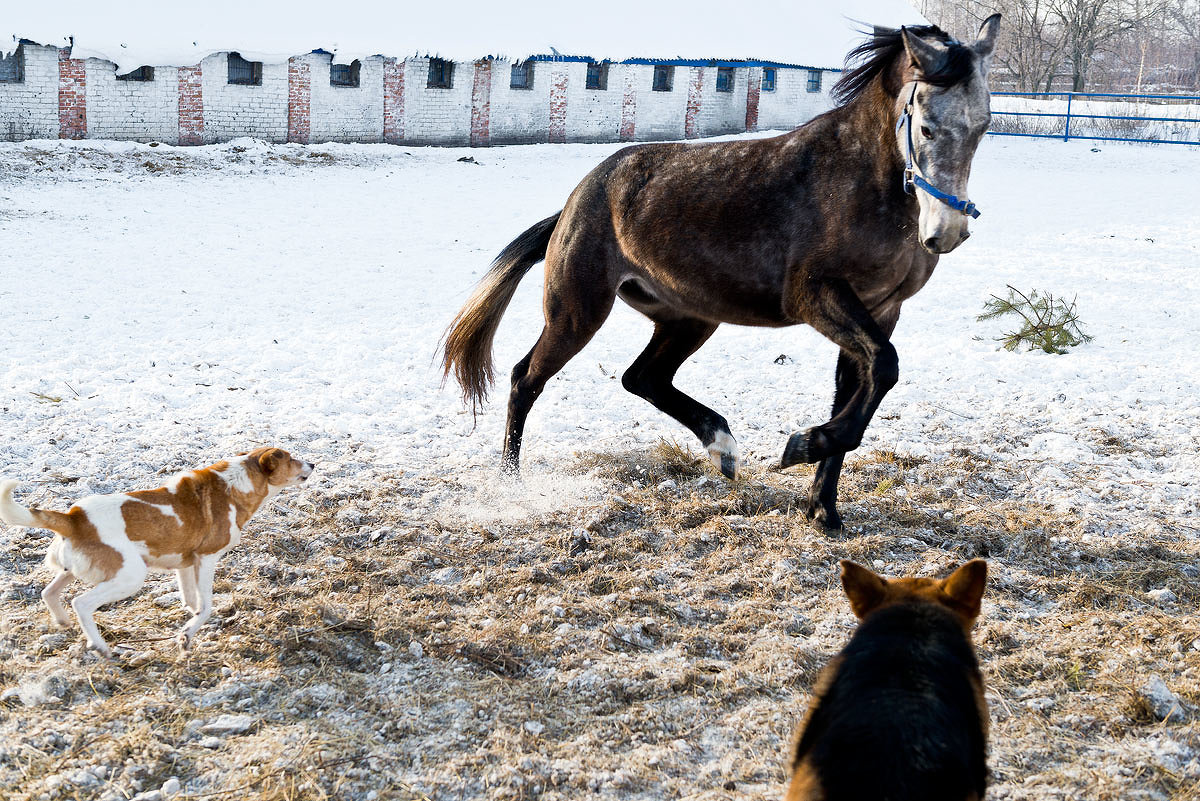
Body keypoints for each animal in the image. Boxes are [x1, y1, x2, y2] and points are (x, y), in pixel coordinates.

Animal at [0, 443, 314, 657]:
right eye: (291, 458)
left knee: (48, 592)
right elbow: (206, 606)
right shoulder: (207, 559)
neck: (236, 483)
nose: (312, 464)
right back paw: (100, 646)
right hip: (129, 576)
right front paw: (187, 635)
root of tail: (74, 517)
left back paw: (63, 622)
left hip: (73, 571)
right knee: (81, 603)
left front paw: (190, 626)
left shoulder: (186, 564)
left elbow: (192, 602)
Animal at [446, 15, 998, 527]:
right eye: (925, 126)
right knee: (525, 378)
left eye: (984, 126)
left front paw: (823, 508)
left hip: (689, 317)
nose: (946, 233)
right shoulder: (817, 297)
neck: (861, 182)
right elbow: (884, 367)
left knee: (643, 377)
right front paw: (802, 446)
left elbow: (862, 385)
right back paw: (511, 483)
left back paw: (723, 449)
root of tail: (573, 202)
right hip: (577, 313)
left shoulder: (881, 310)